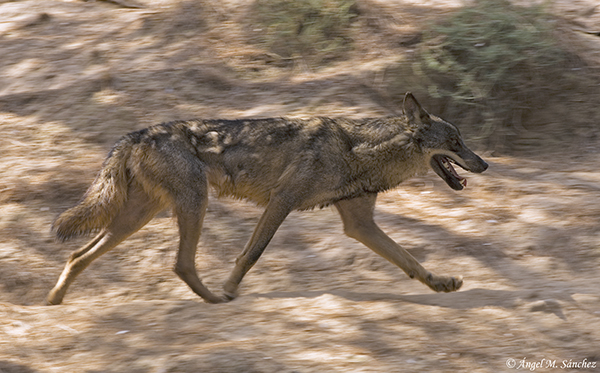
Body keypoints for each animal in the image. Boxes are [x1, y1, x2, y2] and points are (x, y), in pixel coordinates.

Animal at [47, 91, 488, 304]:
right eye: (456, 143)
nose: (484, 164)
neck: (361, 151)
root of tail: (136, 133)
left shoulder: (359, 224)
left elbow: (410, 261)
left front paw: (441, 283)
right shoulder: (282, 202)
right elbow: (250, 255)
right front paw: (230, 288)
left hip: (138, 218)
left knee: (78, 256)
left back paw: (54, 301)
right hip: (192, 205)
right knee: (180, 264)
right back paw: (216, 298)